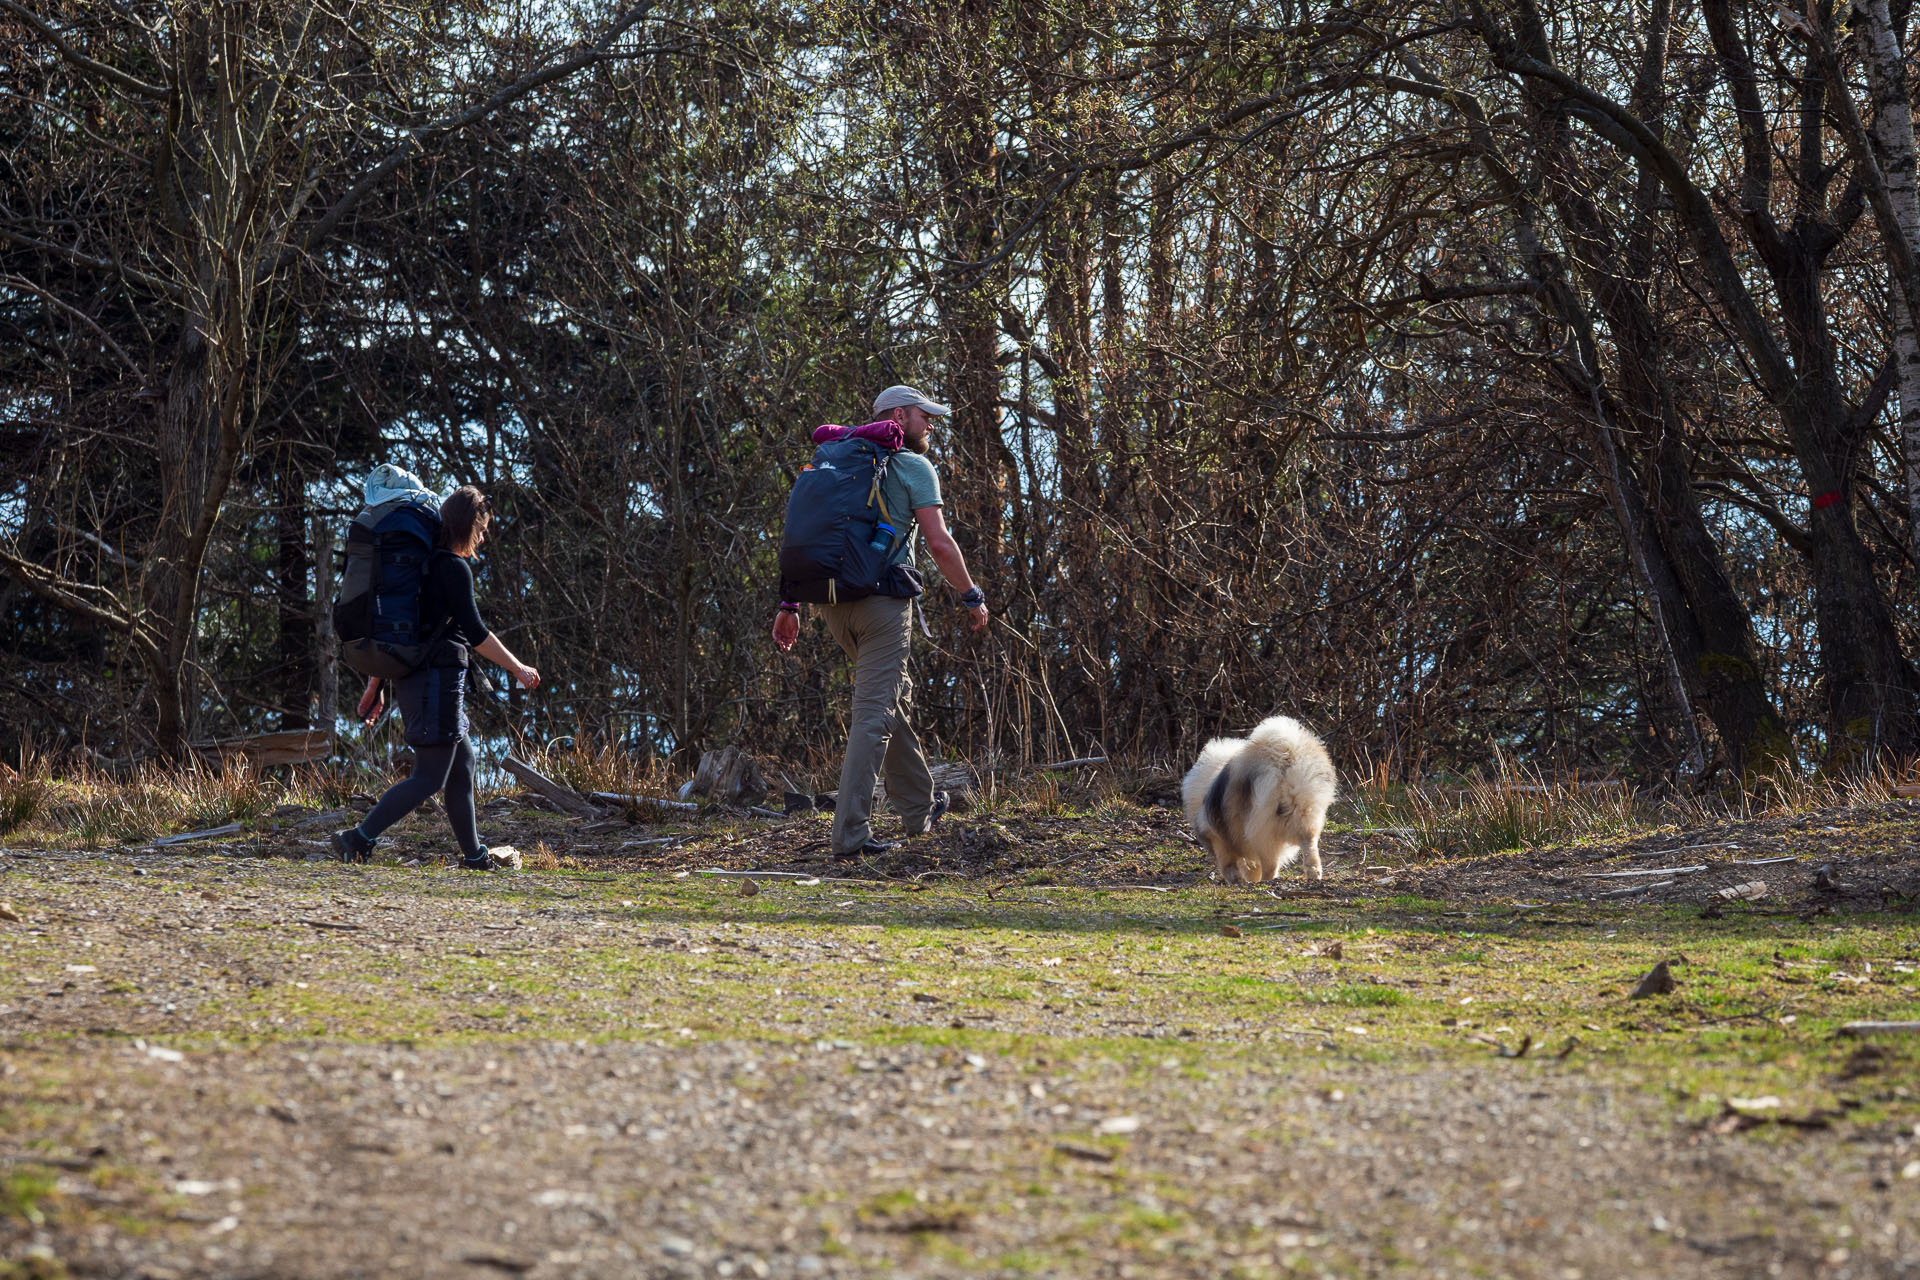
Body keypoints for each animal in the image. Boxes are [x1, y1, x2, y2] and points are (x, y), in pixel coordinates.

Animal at [1182, 717, 1336, 886]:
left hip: (1263, 832)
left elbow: (1230, 865)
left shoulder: (1218, 838)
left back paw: (1265, 881)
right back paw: (1314, 874)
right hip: (1305, 817)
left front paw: (1237, 881)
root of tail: (1285, 760)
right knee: (1310, 847)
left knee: (1270, 865)